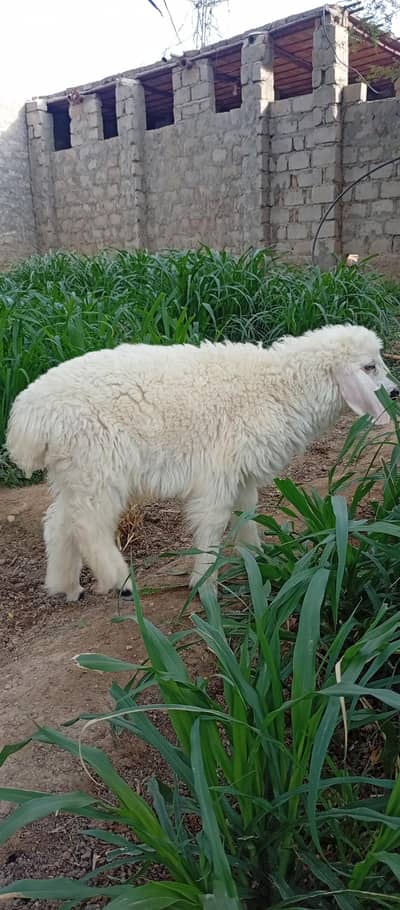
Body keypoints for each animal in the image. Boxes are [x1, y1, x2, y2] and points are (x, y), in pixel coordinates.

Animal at [6, 324, 398, 602]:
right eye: (369, 366)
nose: (394, 392)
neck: (277, 387)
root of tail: (29, 416)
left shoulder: (242, 472)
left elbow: (247, 512)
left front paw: (258, 558)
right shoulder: (218, 472)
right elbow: (213, 523)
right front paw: (205, 586)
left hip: (74, 471)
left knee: (59, 522)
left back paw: (66, 587)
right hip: (98, 467)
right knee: (89, 526)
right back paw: (121, 582)